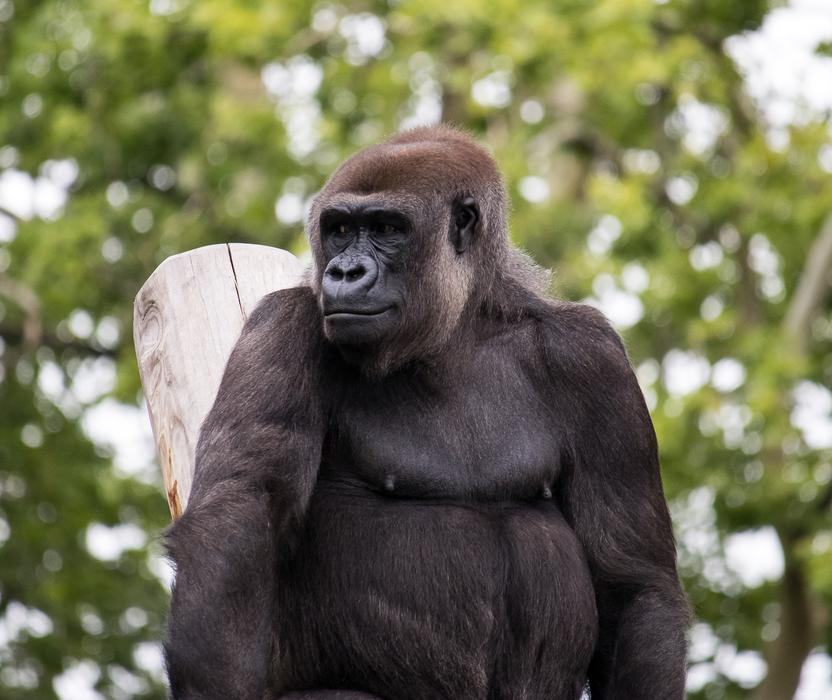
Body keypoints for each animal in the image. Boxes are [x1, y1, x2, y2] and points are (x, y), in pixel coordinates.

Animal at [163, 125, 688, 700]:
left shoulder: (594, 355)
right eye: (339, 230)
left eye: (387, 229)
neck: (456, 330)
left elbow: (633, 584)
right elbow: (238, 515)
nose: (344, 271)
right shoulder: (284, 321)